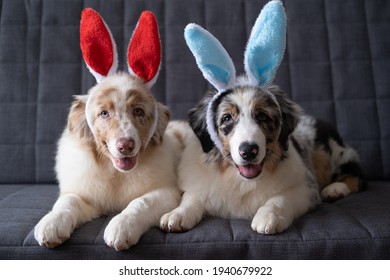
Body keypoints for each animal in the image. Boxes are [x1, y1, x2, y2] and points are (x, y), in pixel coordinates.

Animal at [34, 8, 182, 250]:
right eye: (104, 113)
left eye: (138, 111)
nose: (125, 146)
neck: (115, 174)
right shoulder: (84, 194)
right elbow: (67, 202)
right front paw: (51, 224)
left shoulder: (167, 192)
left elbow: (140, 202)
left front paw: (121, 227)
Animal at [159, 1, 366, 235]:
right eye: (227, 119)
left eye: (262, 116)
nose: (249, 151)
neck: (240, 180)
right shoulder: (200, 185)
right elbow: (191, 197)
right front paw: (177, 214)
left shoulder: (305, 187)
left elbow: (279, 199)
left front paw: (268, 217)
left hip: (329, 150)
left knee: (357, 174)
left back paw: (336, 188)